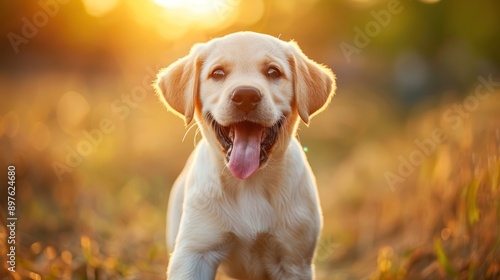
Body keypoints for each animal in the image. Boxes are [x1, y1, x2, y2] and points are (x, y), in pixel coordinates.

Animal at [156, 31, 336, 280]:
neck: (249, 184)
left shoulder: (293, 260)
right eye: (218, 73)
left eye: (273, 72)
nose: (246, 95)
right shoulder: (195, 253)